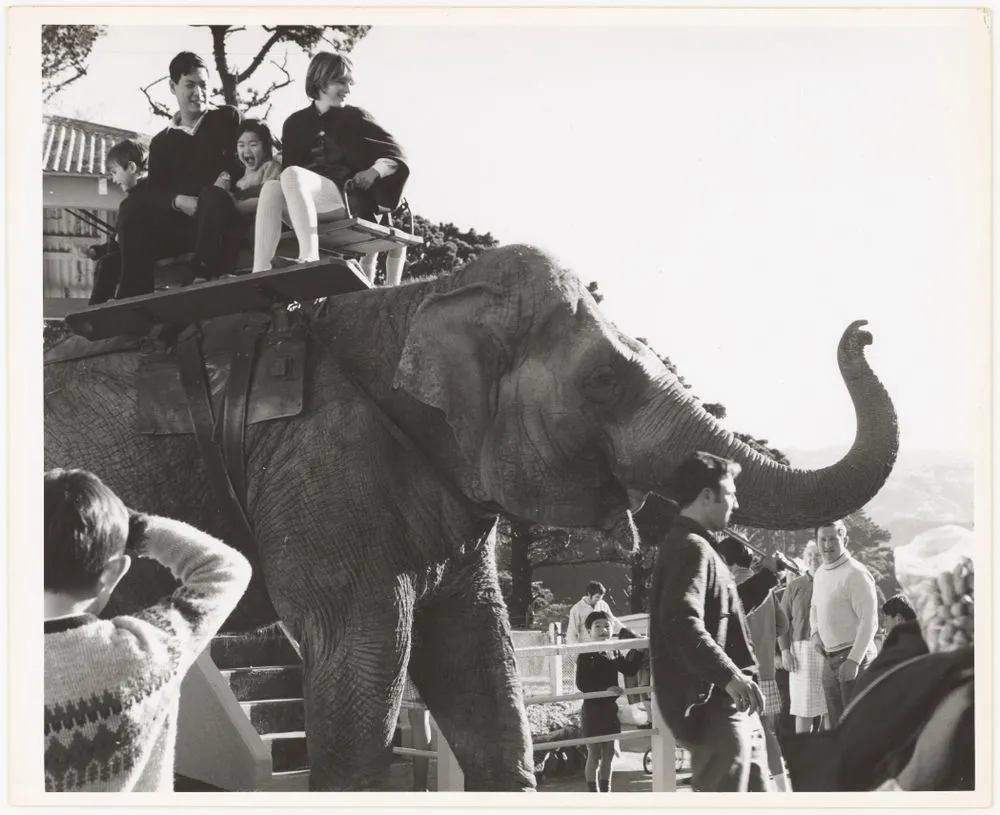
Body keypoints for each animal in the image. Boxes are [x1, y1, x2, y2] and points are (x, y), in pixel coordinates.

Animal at [43, 243, 899, 790]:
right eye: (604, 379)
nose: (863, 329)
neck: (420, 296)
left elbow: (482, 666)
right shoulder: (322, 465)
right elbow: (364, 664)